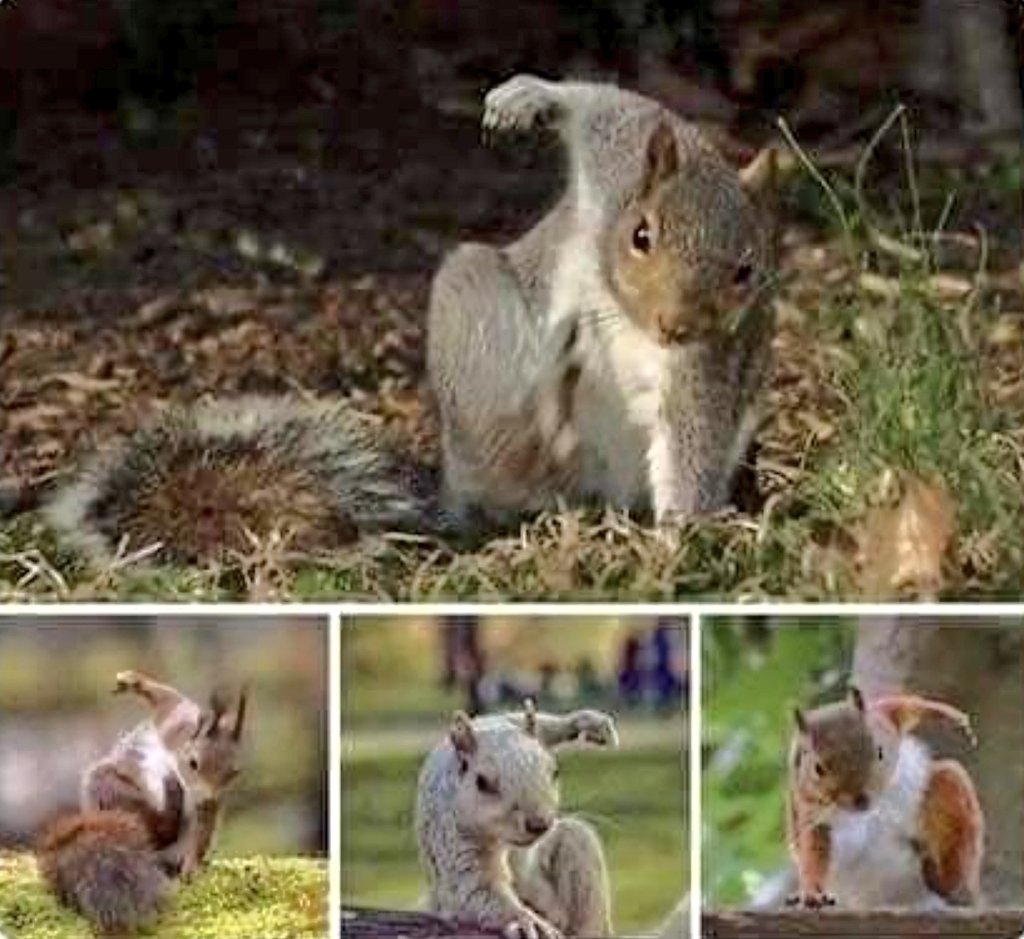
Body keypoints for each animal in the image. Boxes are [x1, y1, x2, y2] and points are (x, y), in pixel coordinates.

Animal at [36, 670, 247, 934]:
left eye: (234, 772)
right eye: (193, 763)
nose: (208, 798)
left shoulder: (205, 809)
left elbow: (200, 834)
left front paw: (191, 868)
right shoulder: (175, 719)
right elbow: (169, 699)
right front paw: (133, 681)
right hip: (107, 787)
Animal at [415, 701, 619, 939]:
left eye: (555, 772)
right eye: (482, 782)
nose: (539, 825)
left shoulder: (504, 724)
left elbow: (533, 723)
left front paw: (589, 723)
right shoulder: (452, 834)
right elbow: (475, 886)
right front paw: (525, 919)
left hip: (572, 851)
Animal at [427, 74, 778, 528]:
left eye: (745, 273)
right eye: (641, 236)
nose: (674, 326)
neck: (627, 317)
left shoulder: (705, 362)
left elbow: (692, 441)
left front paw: (680, 530)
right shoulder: (614, 162)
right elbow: (604, 106)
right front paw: (527, 97)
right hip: (470, 306)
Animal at [787, 685, 984, 911]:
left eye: (879, 752)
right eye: (817, 769)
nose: (861, 799)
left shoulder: (884, 719)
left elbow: (902, 706)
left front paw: (950, 716)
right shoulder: (811, 813)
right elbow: (812, 853)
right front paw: (811, 893)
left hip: (949, 787)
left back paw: (951, 885)